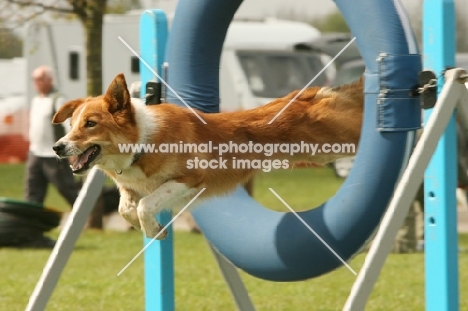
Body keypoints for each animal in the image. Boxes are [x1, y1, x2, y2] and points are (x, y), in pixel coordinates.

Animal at [53, 73, 364, 239]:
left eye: (90, 124)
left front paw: (153, 229)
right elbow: (126, 209)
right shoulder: (130, 188)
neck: (142, 142)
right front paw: (155, 232)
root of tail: (315, 94)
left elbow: (144, 205)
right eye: (72, 124)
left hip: (339, 138)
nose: (57, 147)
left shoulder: (190, 178)